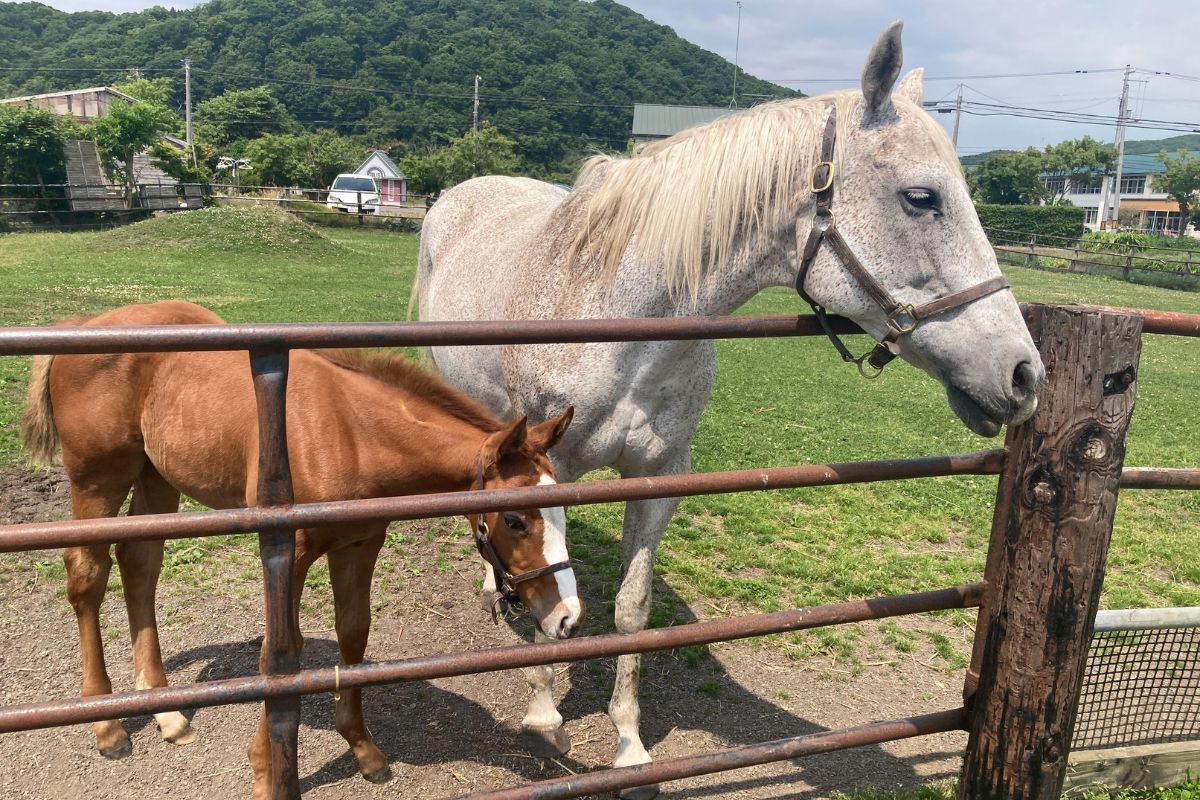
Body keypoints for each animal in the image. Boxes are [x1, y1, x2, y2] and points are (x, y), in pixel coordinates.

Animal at [20, 300, 581, 799]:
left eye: (563, 511)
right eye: (514, 519)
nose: (568, 618)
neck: (350, 432)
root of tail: (85, 324)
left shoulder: (360, 543)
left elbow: (354, 634)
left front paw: (363, 750)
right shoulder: (288, 553)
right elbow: (279, 652)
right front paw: (266, 773)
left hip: (156, 477)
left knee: (140, 565)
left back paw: (168, 712)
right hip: (97, 480)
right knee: (87, 574)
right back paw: (107, 726)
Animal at [414, 21, 1044, 799]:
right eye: (921, 197)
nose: (1023, 374)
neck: (623, 316)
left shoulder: (661, 475)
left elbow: (631, 607)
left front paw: (628, 744)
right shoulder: (549, 467)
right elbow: (547, 581)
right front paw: (541, 711)